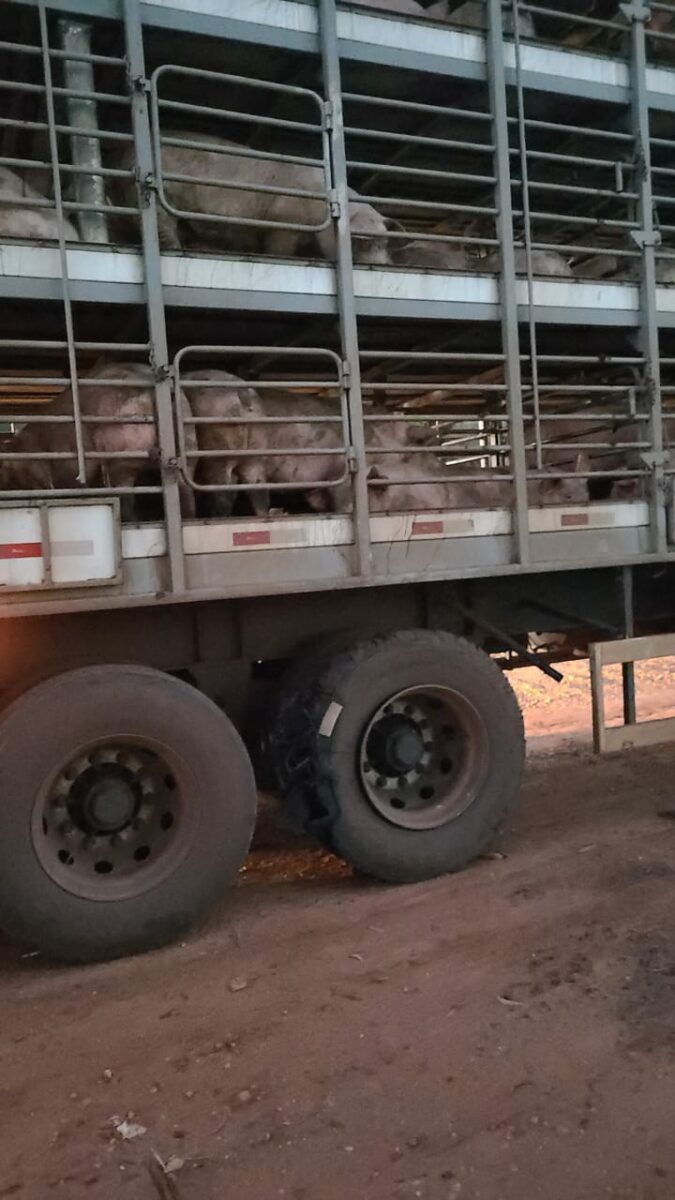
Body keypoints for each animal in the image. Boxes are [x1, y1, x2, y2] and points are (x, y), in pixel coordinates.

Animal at [114, 136, 389, 267]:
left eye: (385, 242)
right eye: (363, 242)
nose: (385, 265)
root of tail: (125, 155)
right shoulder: (283, 223)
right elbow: (278, 250)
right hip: (163, 201)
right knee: (163, 227)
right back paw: (176, 249)